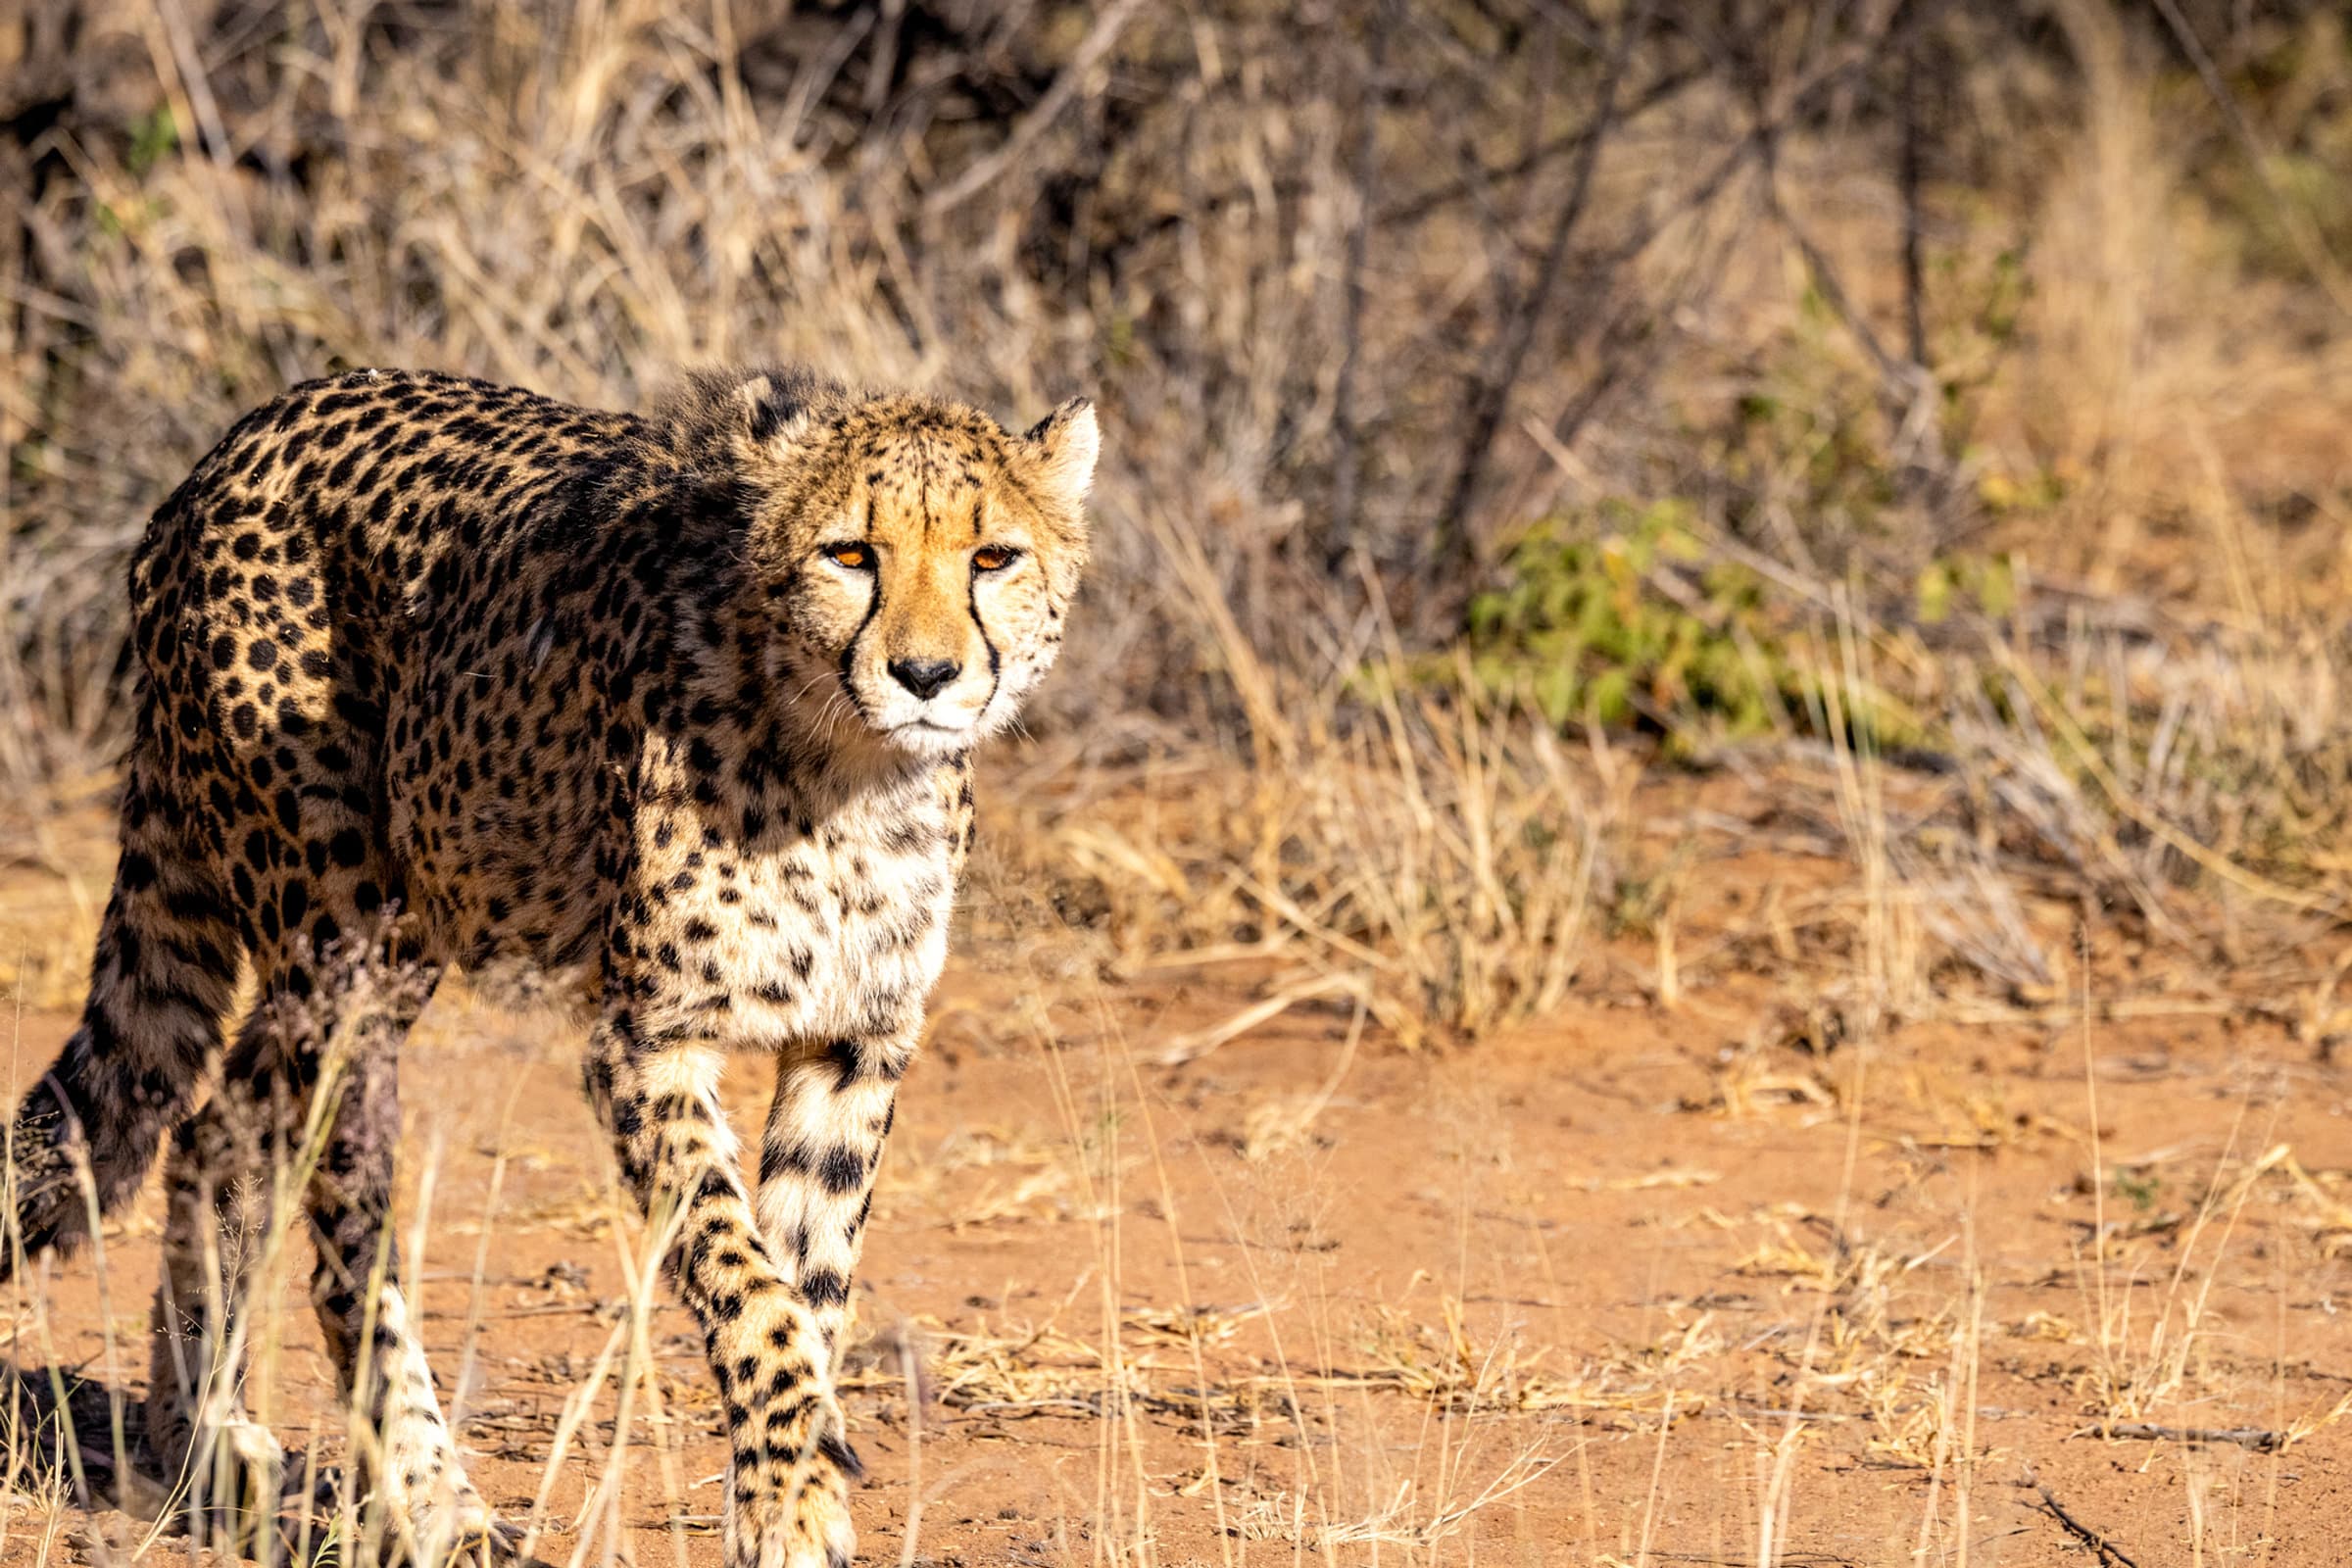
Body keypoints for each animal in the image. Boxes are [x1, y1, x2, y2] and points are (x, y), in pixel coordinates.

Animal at [0, 363, 1097, 1568]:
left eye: (992, 557)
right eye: (851, 553)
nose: (926, 674)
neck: (848, 770)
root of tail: (232, 446)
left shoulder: (853, 1043)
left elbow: (811, 1279)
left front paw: (789, 1497)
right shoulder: (647, 1040)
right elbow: (746, 1281)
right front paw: (794, 1481)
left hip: (372, 946)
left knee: (213, 1129)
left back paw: (202, 1440)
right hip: (345, 945)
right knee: (343, 1234)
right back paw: (434, 1502)